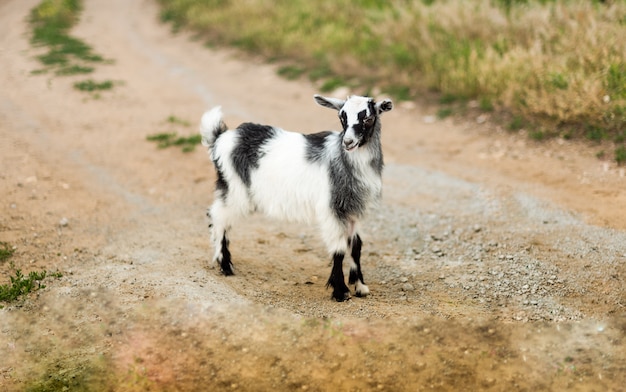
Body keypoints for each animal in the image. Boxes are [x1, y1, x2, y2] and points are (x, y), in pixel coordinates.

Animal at [200, 94, 392, 300]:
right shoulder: (332, 208)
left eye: (368, 118)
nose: (348, 142)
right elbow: (339, 248)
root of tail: (221, 137)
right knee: (219, 217)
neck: (344, 162)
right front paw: (340, 291)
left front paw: (360, 286)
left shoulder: (354, 209)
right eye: (342, 117)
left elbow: (356, 246)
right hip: (235, 187)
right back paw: (225, 266)